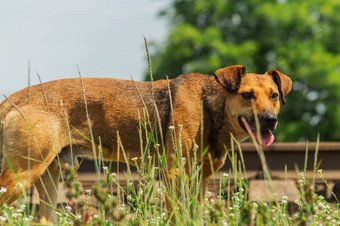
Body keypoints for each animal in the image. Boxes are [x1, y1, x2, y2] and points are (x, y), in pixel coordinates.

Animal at [0, 65, 292, 222]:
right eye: (247, 95)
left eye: (274, 96)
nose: (270, 120)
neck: (210, 106)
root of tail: (12, 99)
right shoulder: (175, 174)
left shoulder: (200, 179)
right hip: (21, 175)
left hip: (48, 178)